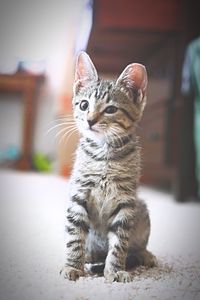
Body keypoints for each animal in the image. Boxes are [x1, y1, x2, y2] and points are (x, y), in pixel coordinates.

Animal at [60, 52, 157, 284]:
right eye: (84, 105)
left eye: (111, 109)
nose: (90, 120)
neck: (103, 154)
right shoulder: (79, 195)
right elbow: (75, 237)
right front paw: (73, 266)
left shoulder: (125, 202)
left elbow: (119, 244)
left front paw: (114, 270)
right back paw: (88, 258)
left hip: (141, 209)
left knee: (134, 247)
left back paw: (143, 255)